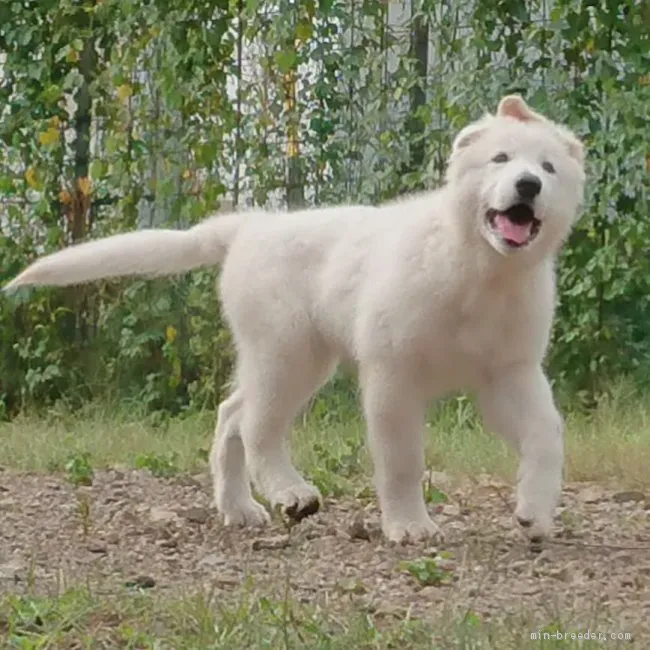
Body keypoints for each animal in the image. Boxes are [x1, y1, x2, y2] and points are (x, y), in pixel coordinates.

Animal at [5, 95, 584, 540]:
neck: (479, 270)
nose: (528, 185)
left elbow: (547, 434)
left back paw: (240, 508)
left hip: (287, 359)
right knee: (256, 426)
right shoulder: (393, 375)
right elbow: (402, 460)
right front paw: (409, 526)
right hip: (287, 351)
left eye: (548, 169)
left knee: (231, 415)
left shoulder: (508, 375)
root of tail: (248, 228)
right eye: (500, 158)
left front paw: (534, 511)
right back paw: (290, 492)